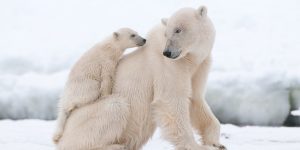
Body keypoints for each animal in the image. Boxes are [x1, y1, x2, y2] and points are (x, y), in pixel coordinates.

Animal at [57, 5, 225, 150]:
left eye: (178, 30)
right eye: (167, 33)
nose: (168, 52)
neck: (189, 59)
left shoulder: (199, 66)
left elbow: (195, 99)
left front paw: (216, 142)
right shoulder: (168, 66)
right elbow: (171, 101)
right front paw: (197, 146)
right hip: (86, 119)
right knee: (114, 106)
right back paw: (115, 146)